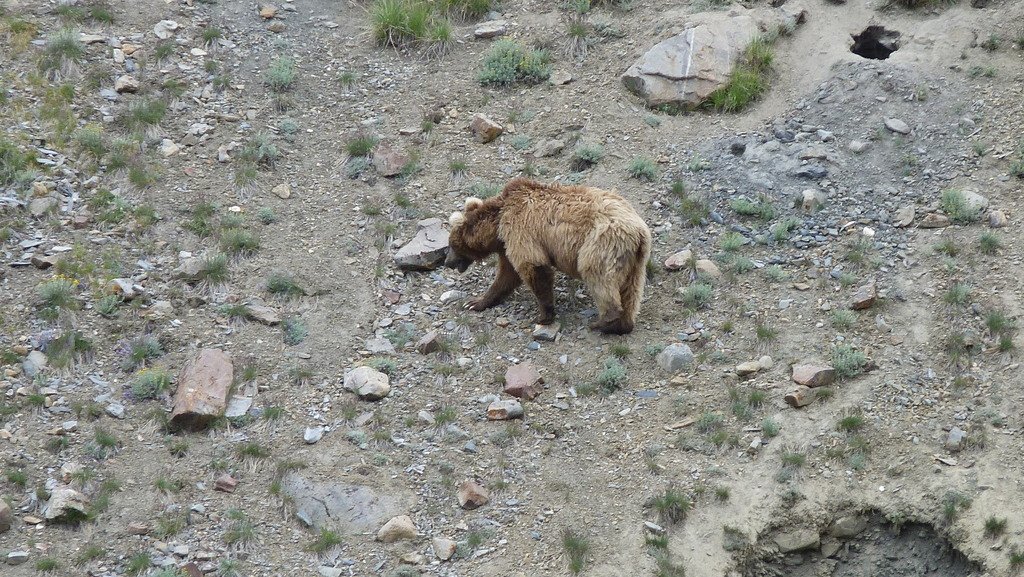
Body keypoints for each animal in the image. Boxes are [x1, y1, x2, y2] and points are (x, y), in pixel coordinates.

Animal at [444, 178, 652, 335]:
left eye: (451, 244)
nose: (447, 262)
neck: (497, 224)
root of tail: (638, 230)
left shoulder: (520, 229)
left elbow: (533, 266)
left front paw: (544, 316)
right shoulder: (506, 244)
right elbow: (506, 276)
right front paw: (475, 303)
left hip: (600, 242)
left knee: (597, 275)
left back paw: (604, 322)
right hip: (635, 258)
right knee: (631, 288)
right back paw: (623, 324)